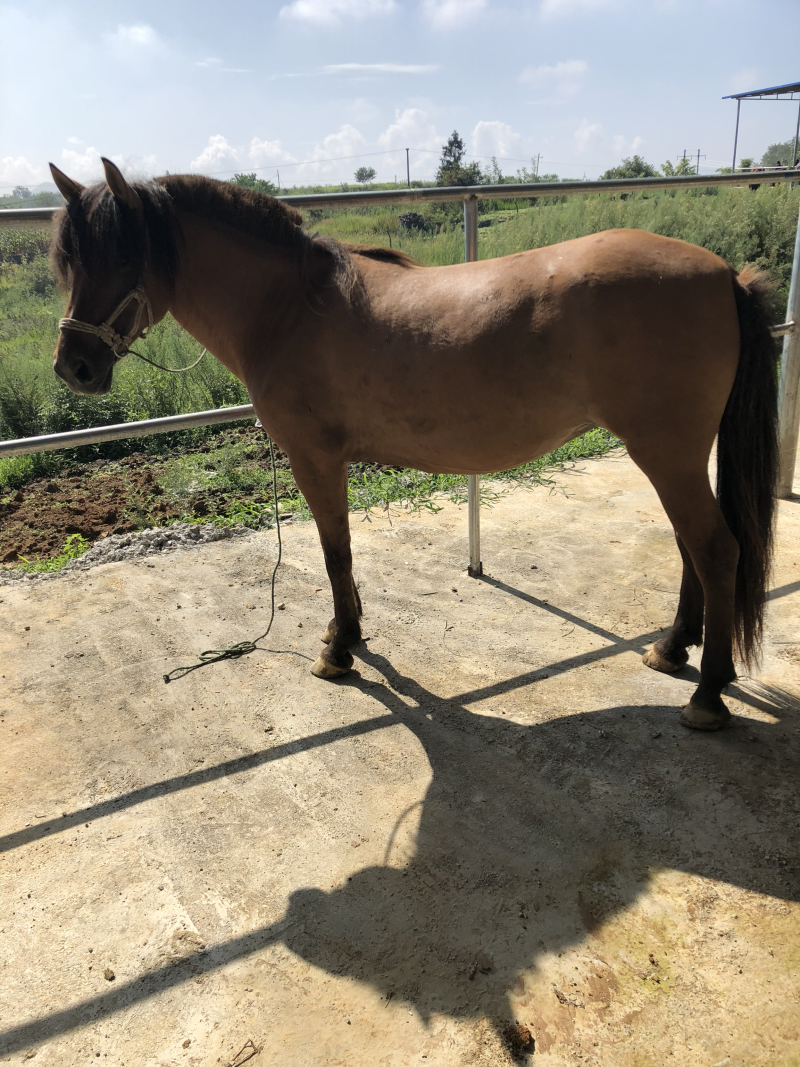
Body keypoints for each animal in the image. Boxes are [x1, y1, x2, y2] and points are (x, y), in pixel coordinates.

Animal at [47, 158, 780, 732]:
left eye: (124, 254)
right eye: (71, 260)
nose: (73, 367)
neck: (289, 308)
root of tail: (723, 274)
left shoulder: (317, 458)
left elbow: (335, 551)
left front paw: (340, 649)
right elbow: (339, 554)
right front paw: (344, 633)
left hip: (666, 451)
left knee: (716, 550)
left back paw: (708, 695)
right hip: (671, 454)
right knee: (692, 547)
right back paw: (672, 649)